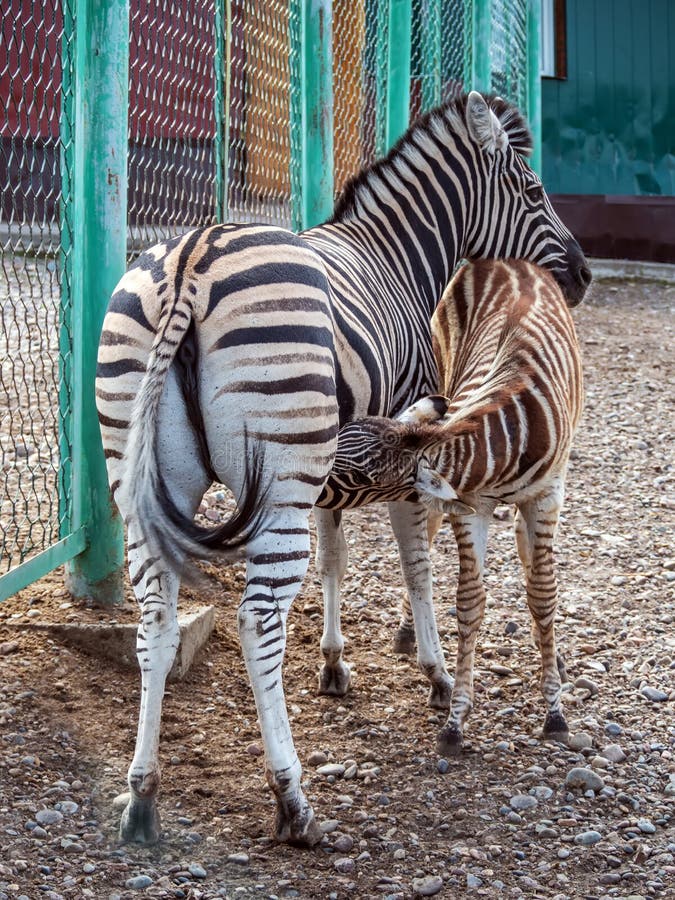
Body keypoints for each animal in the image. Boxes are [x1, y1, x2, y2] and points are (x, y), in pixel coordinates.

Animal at [317, 258, 584, 753]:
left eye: (361, 476)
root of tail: (509, 261)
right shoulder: (468, 506)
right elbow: (468, 602)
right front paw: (456, 719)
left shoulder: (546, 497)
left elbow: (542, 593)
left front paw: (555, 712)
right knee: (424, 545)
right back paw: (408, 633)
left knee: (528, 558)